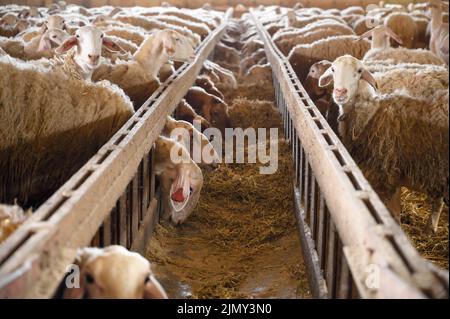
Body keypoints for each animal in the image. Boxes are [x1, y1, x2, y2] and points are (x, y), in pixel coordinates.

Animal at [318, 55, 448, 235]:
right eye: (333, 69)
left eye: (359, 71)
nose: (340, 92)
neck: (370, 114)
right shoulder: (395, 177)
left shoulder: (385, 176)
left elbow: (394, 216)